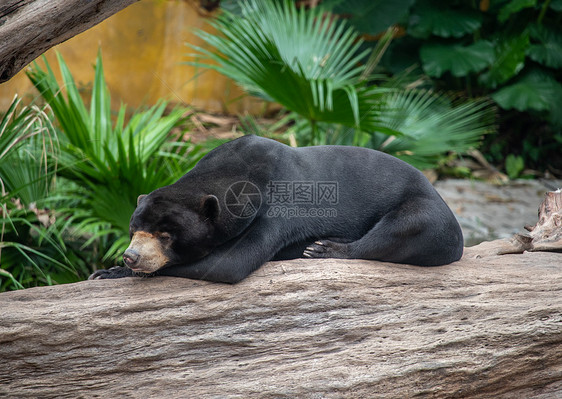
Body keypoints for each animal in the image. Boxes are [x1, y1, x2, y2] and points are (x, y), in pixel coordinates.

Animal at [89, 137, 462, 284]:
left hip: (427, 212)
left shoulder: (278, 207)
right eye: (133, 229)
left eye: (165, 235)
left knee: (401, 228)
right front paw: (106, 271)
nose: (131, 256)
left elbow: (231, 263)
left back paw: (321, 249)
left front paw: (110, 274)